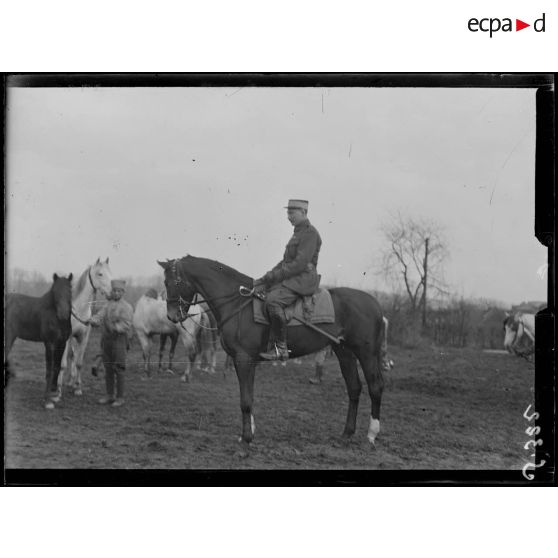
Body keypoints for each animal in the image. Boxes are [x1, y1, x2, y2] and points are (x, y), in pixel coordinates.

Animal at [5, 274, 74, 410]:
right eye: (55, 292)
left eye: (70, 290)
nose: (63, 314)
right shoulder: (49, 344)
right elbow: (49, 369)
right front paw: (47, 400)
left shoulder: (61, 343)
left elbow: (57, 367)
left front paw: (54, 394)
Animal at [58, 260, 112, 396]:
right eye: (100, 274)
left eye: (110, 272)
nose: (113, 291)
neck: (79, 309)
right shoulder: (67, 338)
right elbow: (63, 364)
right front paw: (58, 390)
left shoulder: (84, 337)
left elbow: (79, 362)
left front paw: (77, 388)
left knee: (73, 355)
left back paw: (71, 382)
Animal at [155, 258, 388, 450]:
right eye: (165, 282)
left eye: (172, 282)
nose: (172, 316)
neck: (238, 304)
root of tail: (376, 304)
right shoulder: (247, 361)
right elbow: (248, 395)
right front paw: (248, 432)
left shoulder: (243, 358)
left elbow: (245, 400)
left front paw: (247, 439)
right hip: (344, 351)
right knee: (354, 388)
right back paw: (347, 434)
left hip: (366, 353)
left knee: (375, 387)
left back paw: (371, 434)